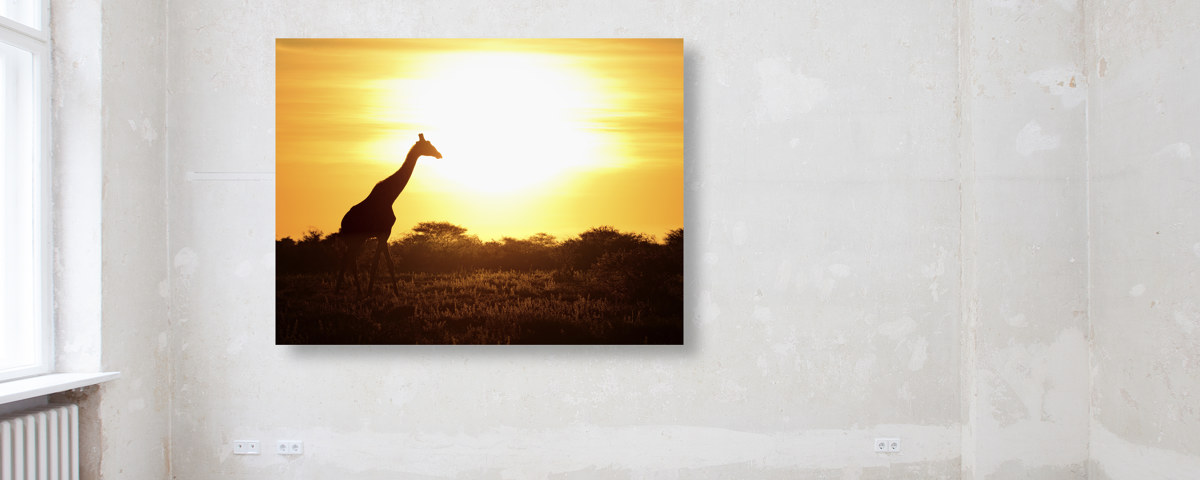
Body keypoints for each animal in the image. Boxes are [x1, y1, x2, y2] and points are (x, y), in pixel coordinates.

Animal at [335, 133, 442, 295]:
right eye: (428, 145)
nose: (439, 154)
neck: (390, 197)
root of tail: (343, 223)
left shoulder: (384, 234)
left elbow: (388, 263)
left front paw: (396, 293)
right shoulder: (385, 232)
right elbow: (377, 263)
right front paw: (371, 292)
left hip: (358, 239)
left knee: (349, 259)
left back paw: (353, 291)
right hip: (356, 238)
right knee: (348, 259)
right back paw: (347, 291)